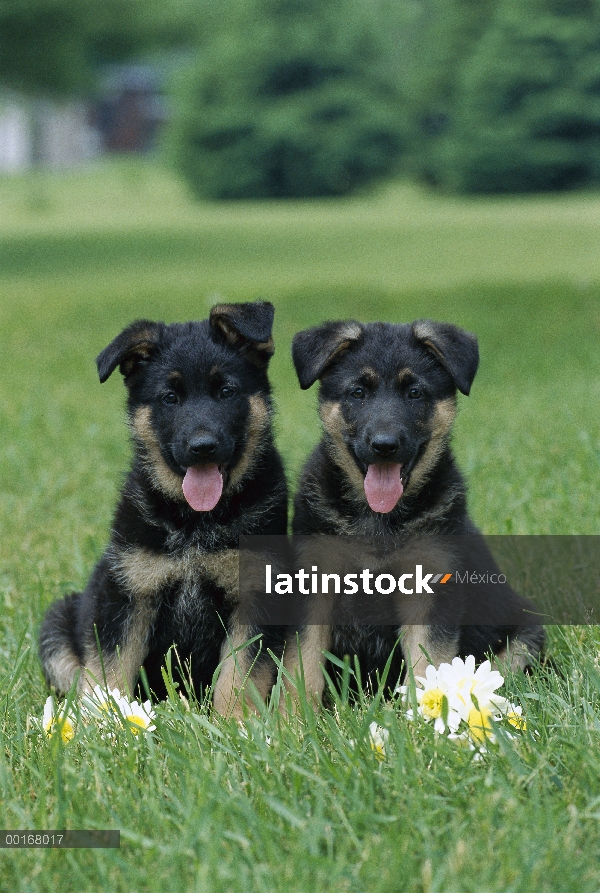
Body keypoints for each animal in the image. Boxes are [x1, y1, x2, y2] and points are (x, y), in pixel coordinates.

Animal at [39, 302, 288, 716]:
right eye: (170, 398)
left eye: (226, 391)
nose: (202, 447)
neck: (195, 522)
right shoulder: (128, 595)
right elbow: (111, 670)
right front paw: (106, 723)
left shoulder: (255, 597)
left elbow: (238, 677)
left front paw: (235, 724)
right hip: (58, 622)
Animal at [286, 320, 544, 704]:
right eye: (358, 392)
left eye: (415, 393)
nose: (385, 445)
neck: (378, 521)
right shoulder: (312, 582)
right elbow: (301, 664)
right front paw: (292, 716)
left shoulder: (430, 591)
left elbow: (427, 665)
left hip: (524, 636)